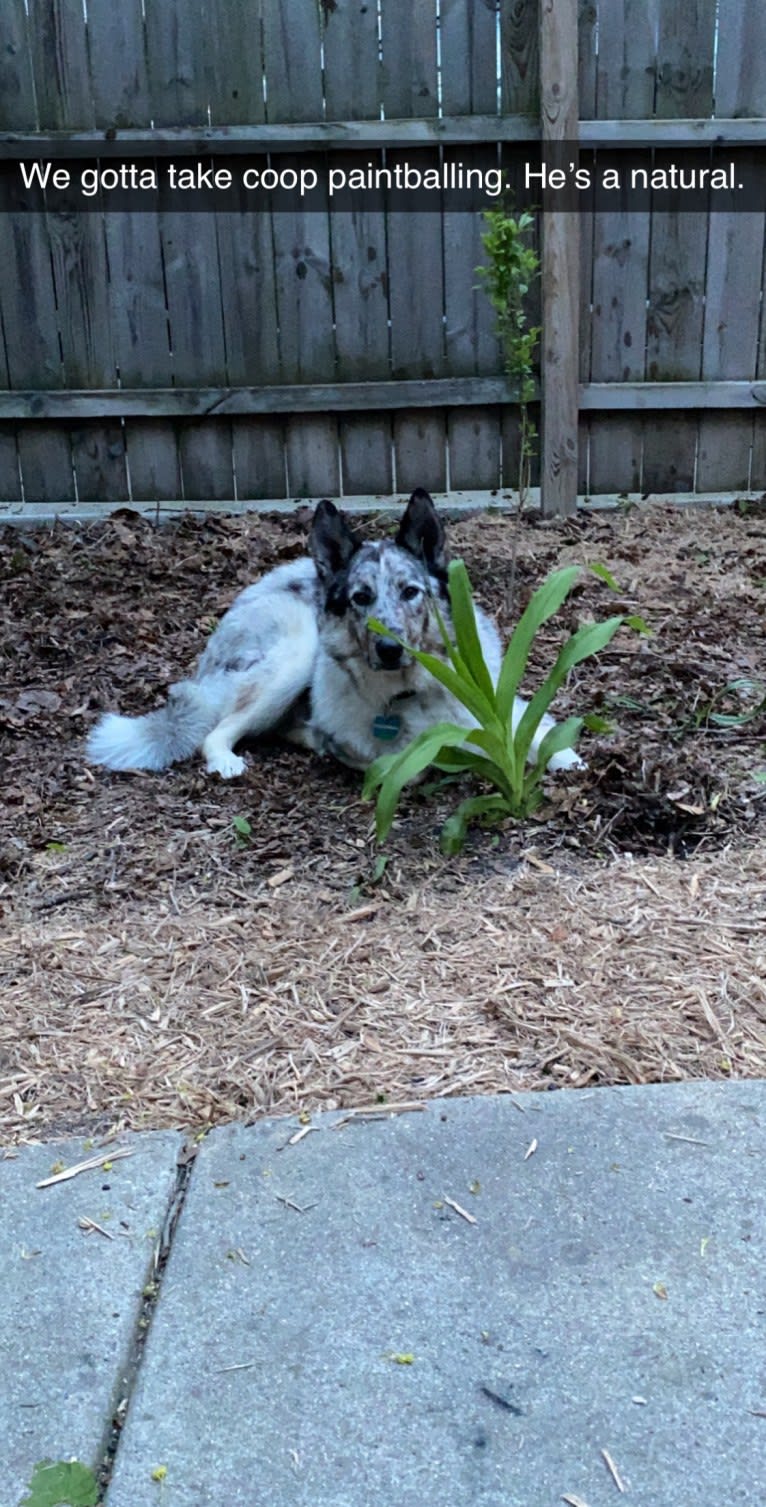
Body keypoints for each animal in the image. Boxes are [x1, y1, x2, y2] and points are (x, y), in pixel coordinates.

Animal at [85, 491, 585, 777]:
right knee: (220, 729)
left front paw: (562, 757)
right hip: (295, 653)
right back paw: (229, 759)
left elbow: (536, 731)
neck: (406, 696)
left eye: (410, 591)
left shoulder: (499, 706)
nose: (389, 649)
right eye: (361, 597)